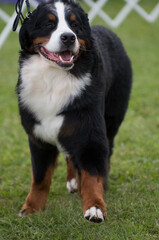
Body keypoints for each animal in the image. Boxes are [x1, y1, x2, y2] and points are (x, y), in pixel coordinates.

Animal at [16, 0, 132, 223]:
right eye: (49, 24)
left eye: (75, 25)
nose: (69, 37)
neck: (54, 78)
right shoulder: (38, 136)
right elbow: (40, 178)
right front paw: (31, 208)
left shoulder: (89, 131)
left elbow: (92, 175)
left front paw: (95, 206)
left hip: (112, 117)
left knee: (106, 151)